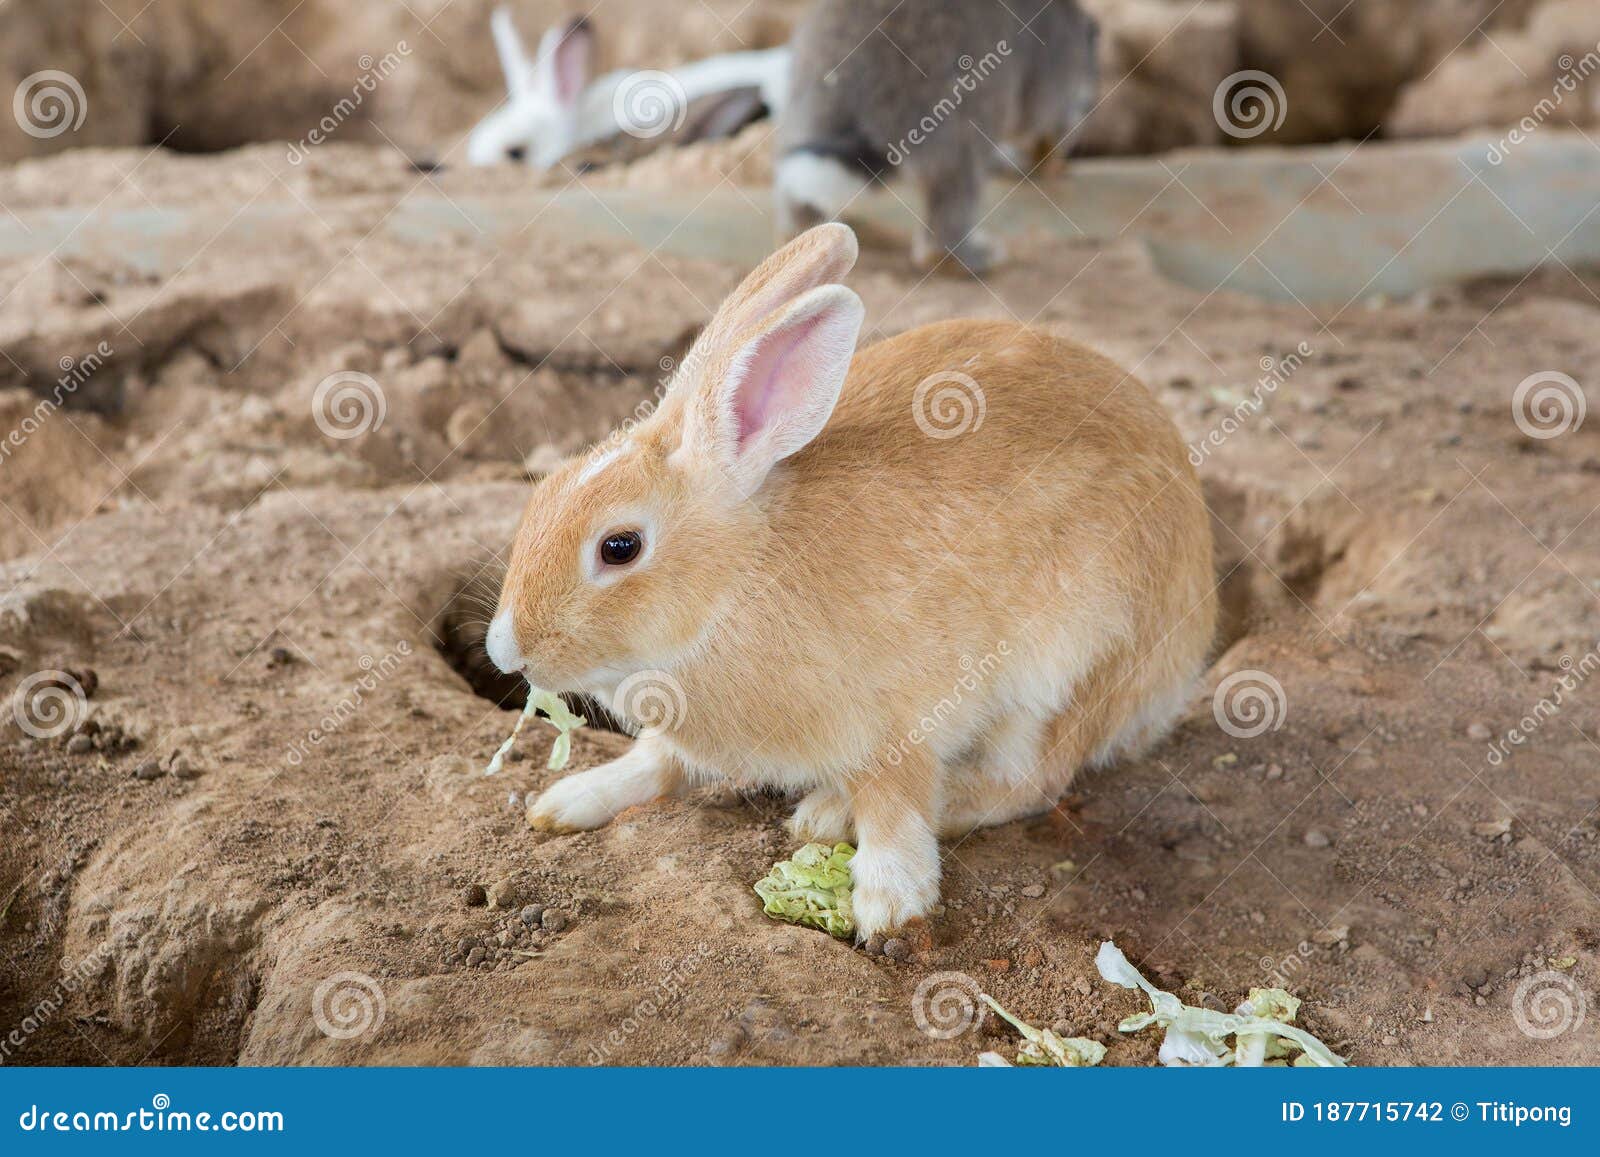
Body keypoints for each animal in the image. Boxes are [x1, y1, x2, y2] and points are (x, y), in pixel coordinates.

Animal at [486, 223, 1216, 939]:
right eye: (540, 493)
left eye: (620, 547)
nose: (506, 651)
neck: (737, 581)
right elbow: (656, 760)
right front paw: (565, 801)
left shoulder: (904, 720)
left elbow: (898, 803)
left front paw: (889, 901)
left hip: (1070, 670)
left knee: (1031, 780)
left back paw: (830, 812)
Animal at [775, 0, 1101, 274]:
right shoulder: (1052, 56)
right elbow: (1042, 114)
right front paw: (1046, 151)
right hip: (948, 99)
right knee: (961, 174)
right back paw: (953, 253)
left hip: (807, 90)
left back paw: (806, 230)